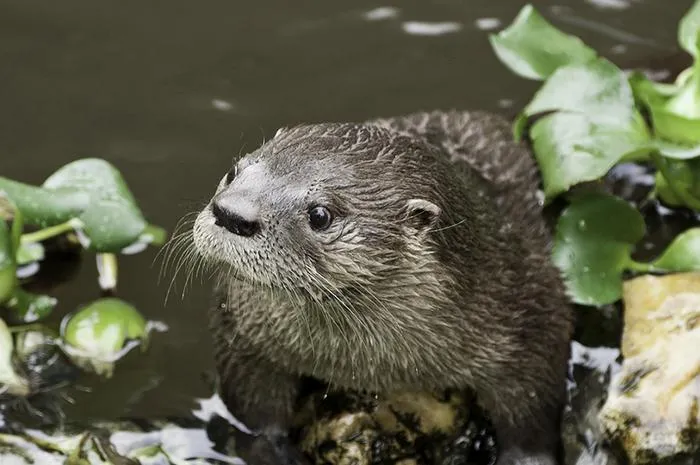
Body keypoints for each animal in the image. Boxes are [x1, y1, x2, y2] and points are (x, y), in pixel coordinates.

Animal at [192, 110, 574, 465]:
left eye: (320, 215)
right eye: (234, 172)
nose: (231, 213)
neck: (366, 366)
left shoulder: (531, 310)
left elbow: (532, 413)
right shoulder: (242, 325)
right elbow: (251, 410)